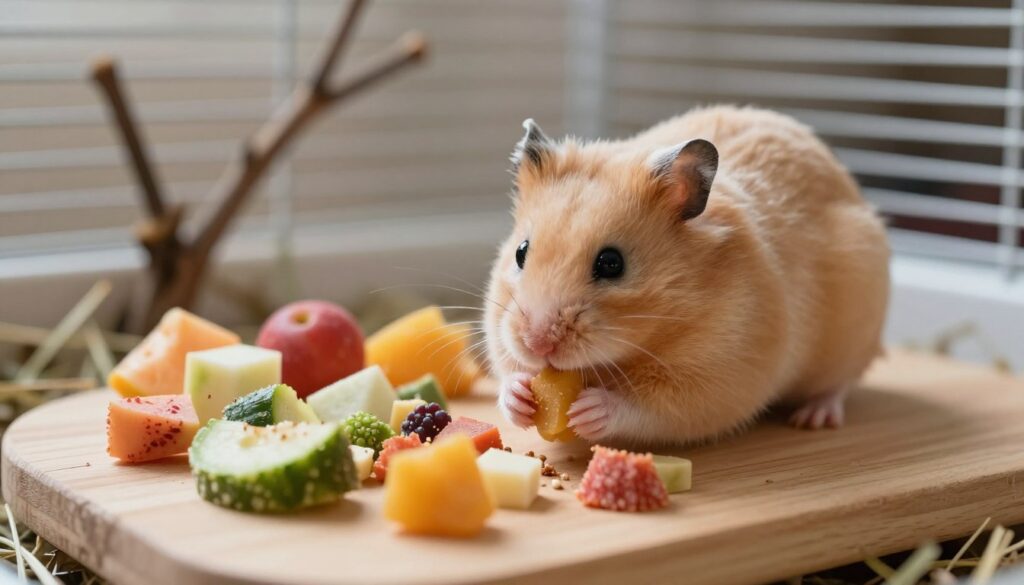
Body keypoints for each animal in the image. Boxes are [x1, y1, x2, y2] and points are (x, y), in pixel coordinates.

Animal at [483, 105, 890, 447]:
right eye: (520, 252)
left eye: (612, 264)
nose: (537, 344)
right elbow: (508, 370)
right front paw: (518, 395)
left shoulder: (718, 373)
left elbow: (651, 407)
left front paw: (592, 409)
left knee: (840, 383)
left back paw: (814, 417)